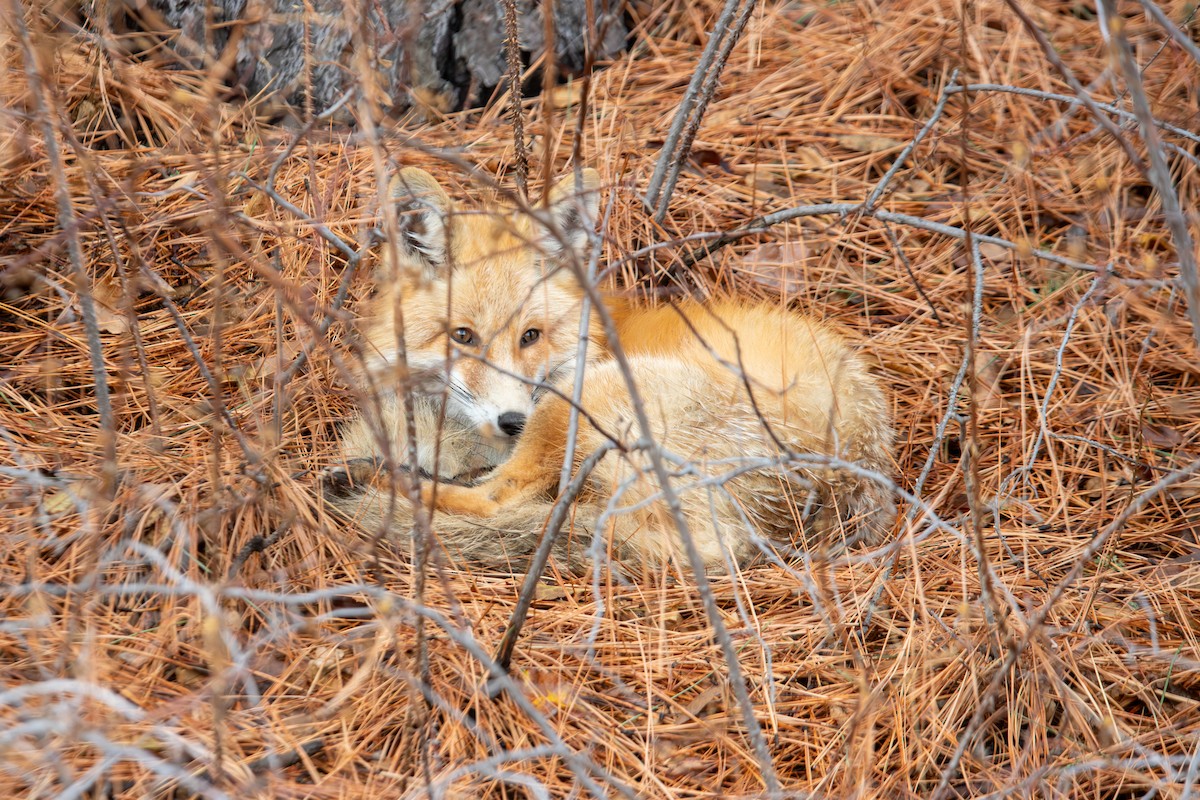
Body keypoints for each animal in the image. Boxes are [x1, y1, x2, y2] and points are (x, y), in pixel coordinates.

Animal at [325, 167, 896, 574]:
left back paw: (372, 480)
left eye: (530, 336)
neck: (593, 335)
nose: (512, 421)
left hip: (582, 404)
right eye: (463, 337)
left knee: (495, 500)